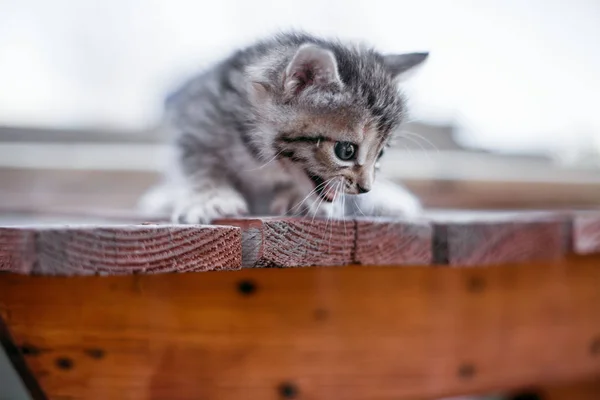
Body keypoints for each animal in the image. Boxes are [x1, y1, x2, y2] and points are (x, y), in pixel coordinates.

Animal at [137, 31, 426, 223]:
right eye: (346, 151)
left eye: (381, 153)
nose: (366, 187)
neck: (260, 156)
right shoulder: (200, 114)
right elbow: (199, 162)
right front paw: (211, 197)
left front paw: (296, 197)